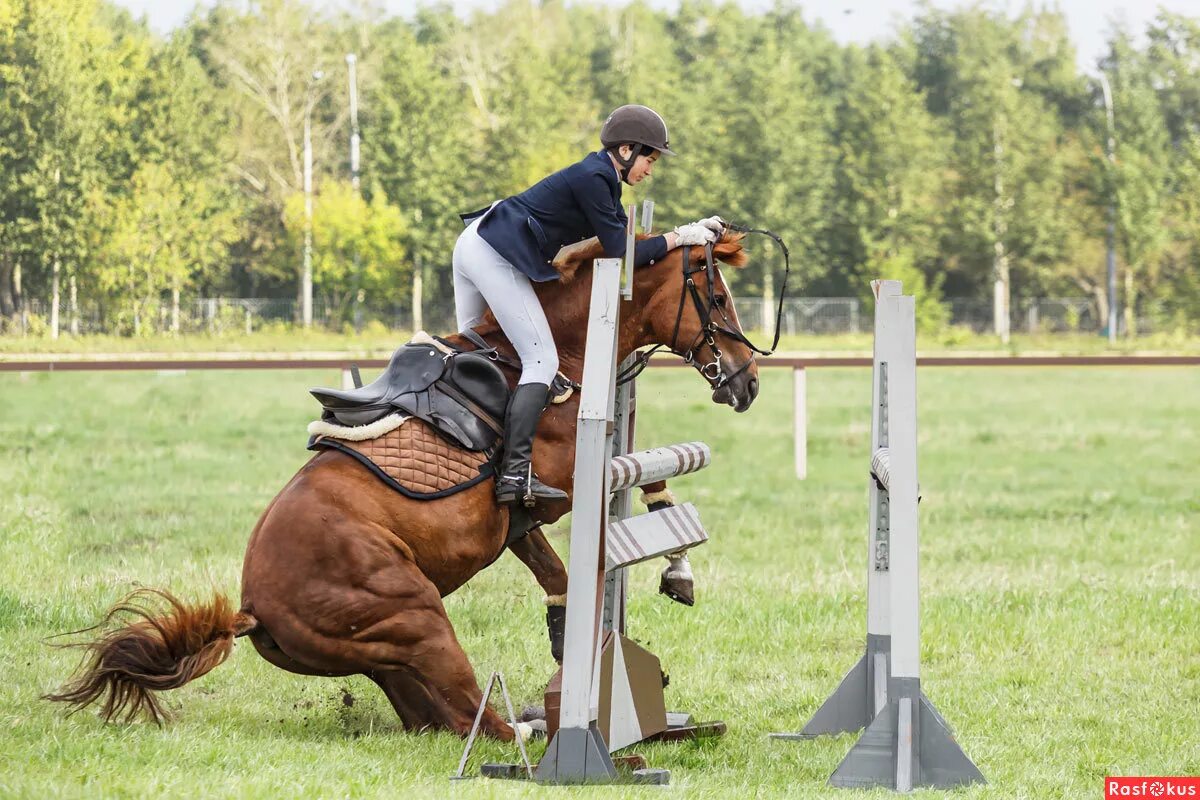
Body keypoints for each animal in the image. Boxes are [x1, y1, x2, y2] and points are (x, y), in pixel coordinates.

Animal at [49, 232, 758, 743]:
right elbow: (650, 468)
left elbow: (558, 575)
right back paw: (533, 731)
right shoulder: (562, 475)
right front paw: (678, 571)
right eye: (718, 300)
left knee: (430, 720)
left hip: (387, 654)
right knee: (477, 722)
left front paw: (572, 633)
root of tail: (252, 608)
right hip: (418, 615)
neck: (561, 352)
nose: (747, 380)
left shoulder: (519, 522)